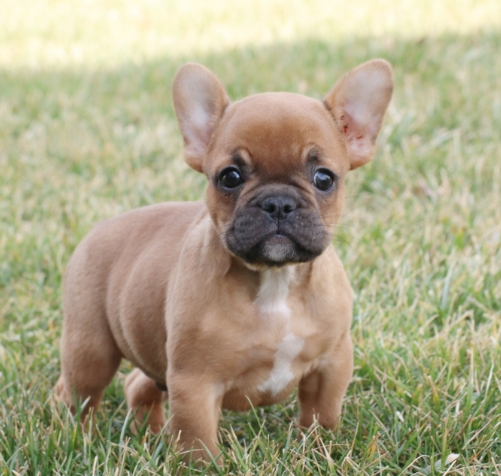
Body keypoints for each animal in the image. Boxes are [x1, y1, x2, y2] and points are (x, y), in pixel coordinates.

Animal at [53, 59, 390, 462]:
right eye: (230, 177)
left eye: (324, 178)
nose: (278, 202)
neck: (275, 282)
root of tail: (99, 228)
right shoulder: (194, 382)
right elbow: (197, 440)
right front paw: (202, 465)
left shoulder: (332, 363)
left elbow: (321, 414)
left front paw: (321, 450)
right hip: (91, 350)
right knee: (76, 393)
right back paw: (74, 438)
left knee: (137, 383)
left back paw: (149, 433)